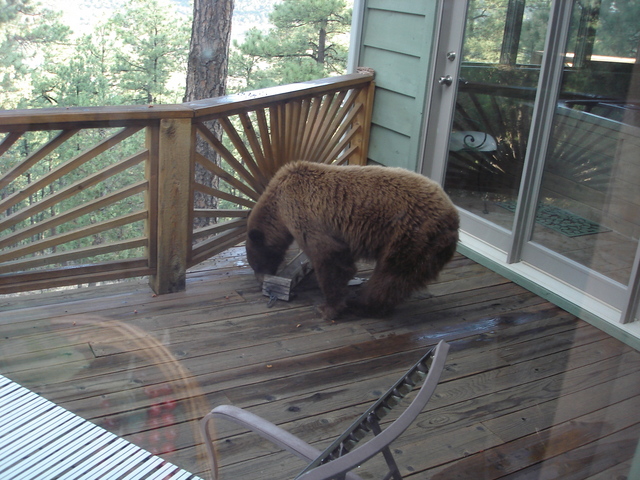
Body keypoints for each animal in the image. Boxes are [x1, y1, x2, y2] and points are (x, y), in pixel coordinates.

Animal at [245, 161, 459, 320]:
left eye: (256, 262)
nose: (259, 280)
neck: (278, 205)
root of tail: (454, 217)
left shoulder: (305, 214)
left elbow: (329, 256)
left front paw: (327, 308)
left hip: (411, 234)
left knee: (391, 275)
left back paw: (364, 304)